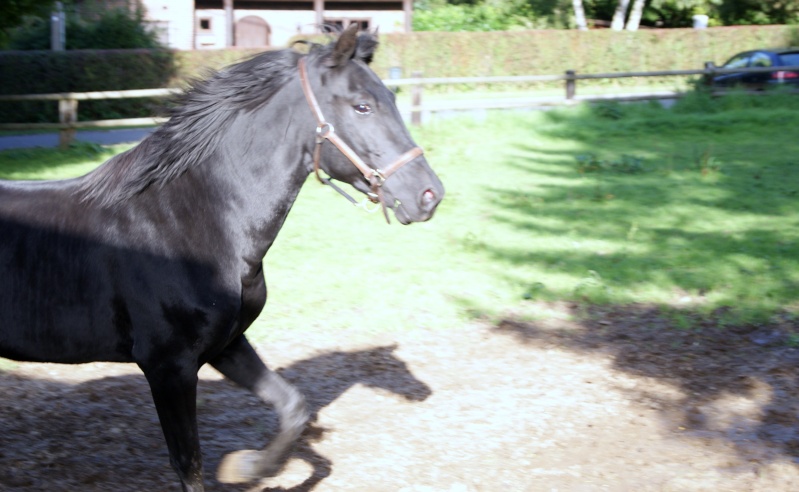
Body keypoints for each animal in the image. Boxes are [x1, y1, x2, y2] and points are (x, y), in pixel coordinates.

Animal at [0, 26, 444, 492]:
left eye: (392, 98)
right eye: (362, 106)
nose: (429, 195)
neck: (185, 222)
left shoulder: (226, 344)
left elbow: (292, 407)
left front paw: (246, 468)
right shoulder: (168, 365)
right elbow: (189, 463)